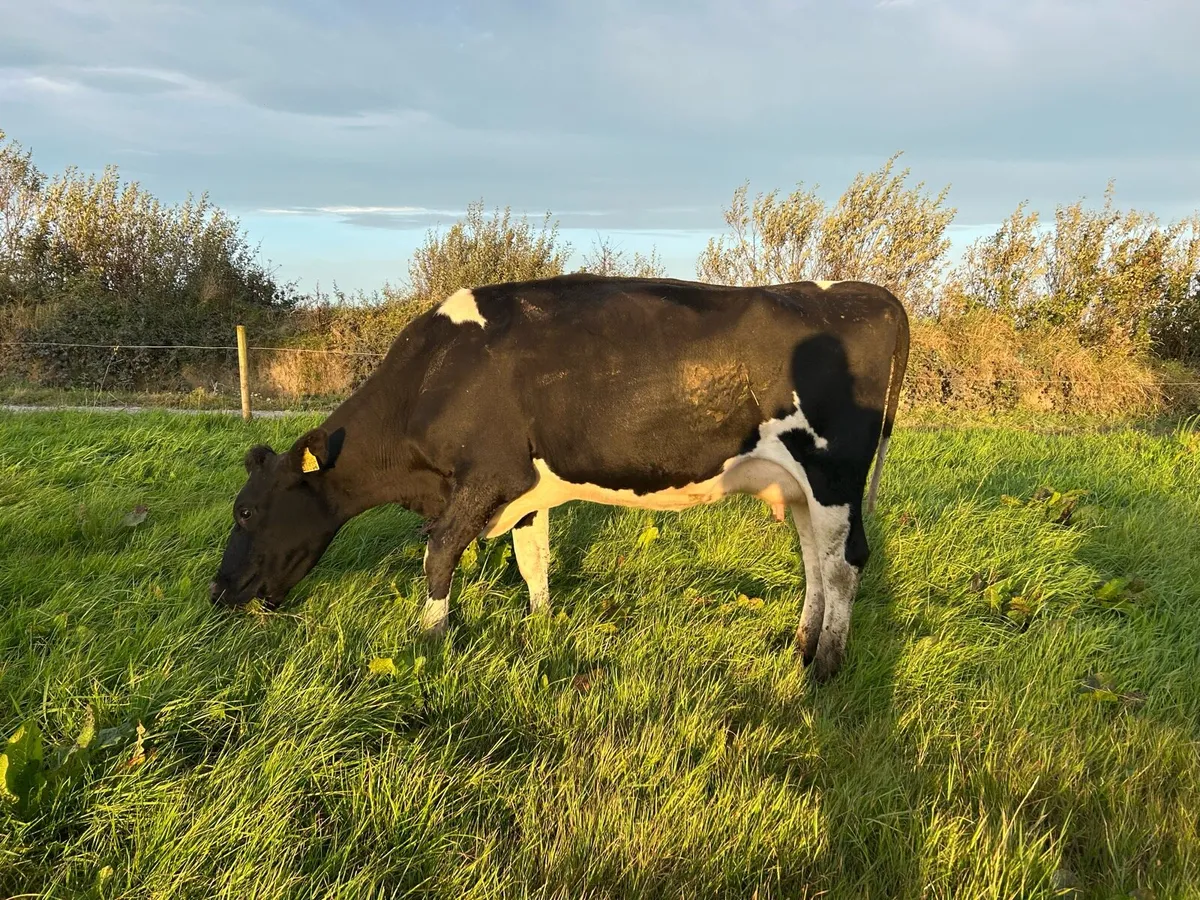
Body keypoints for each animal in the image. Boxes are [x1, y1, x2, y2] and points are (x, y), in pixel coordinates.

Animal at [209, 274, 909, 680]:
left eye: (246, 511)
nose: (217, 591)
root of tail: (857, 292)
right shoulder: (523, 490)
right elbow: (533, 559)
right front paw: (542, 626)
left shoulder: (488, 475)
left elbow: (440, 554)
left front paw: (429, 639)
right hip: (799, 488)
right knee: (815, 560)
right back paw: (801, 645)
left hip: (833, 474)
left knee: (844, 564)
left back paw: (825, 667)